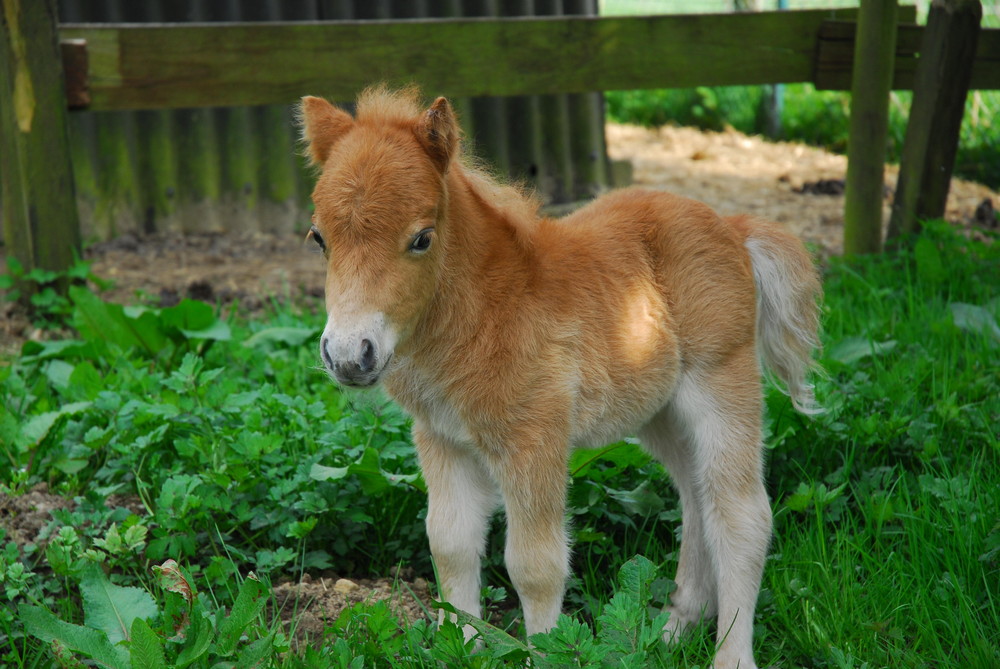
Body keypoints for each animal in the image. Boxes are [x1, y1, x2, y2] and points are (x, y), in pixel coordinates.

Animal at [302, 88, 820, 668]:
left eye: (421, 238)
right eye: (318, 237)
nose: (350, 356)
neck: (486, 309)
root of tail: (732, 227)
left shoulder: (535, 439)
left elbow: (535, 565)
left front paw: (546, 651)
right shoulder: (442, 438)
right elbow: (450, 543)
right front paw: (461, 645)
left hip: (721, 383)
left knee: (740, 514)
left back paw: (729, 654)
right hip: (659, 411)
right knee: (696, 497)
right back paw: (674, 631)